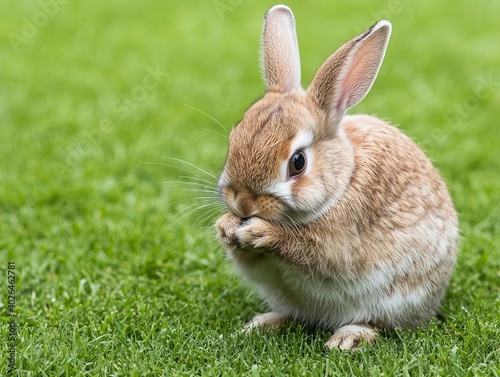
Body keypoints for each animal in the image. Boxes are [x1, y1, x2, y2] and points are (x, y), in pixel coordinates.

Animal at [215, 4, 458, 350]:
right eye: (234, 139)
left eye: (298, 162)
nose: (245, 204)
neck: (343, 179)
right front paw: (226, 226)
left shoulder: (339, 245)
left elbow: (313, 252)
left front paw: (259, 232)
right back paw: (260, 325)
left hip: (397, 299)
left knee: (377, 324)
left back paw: (346, 340)